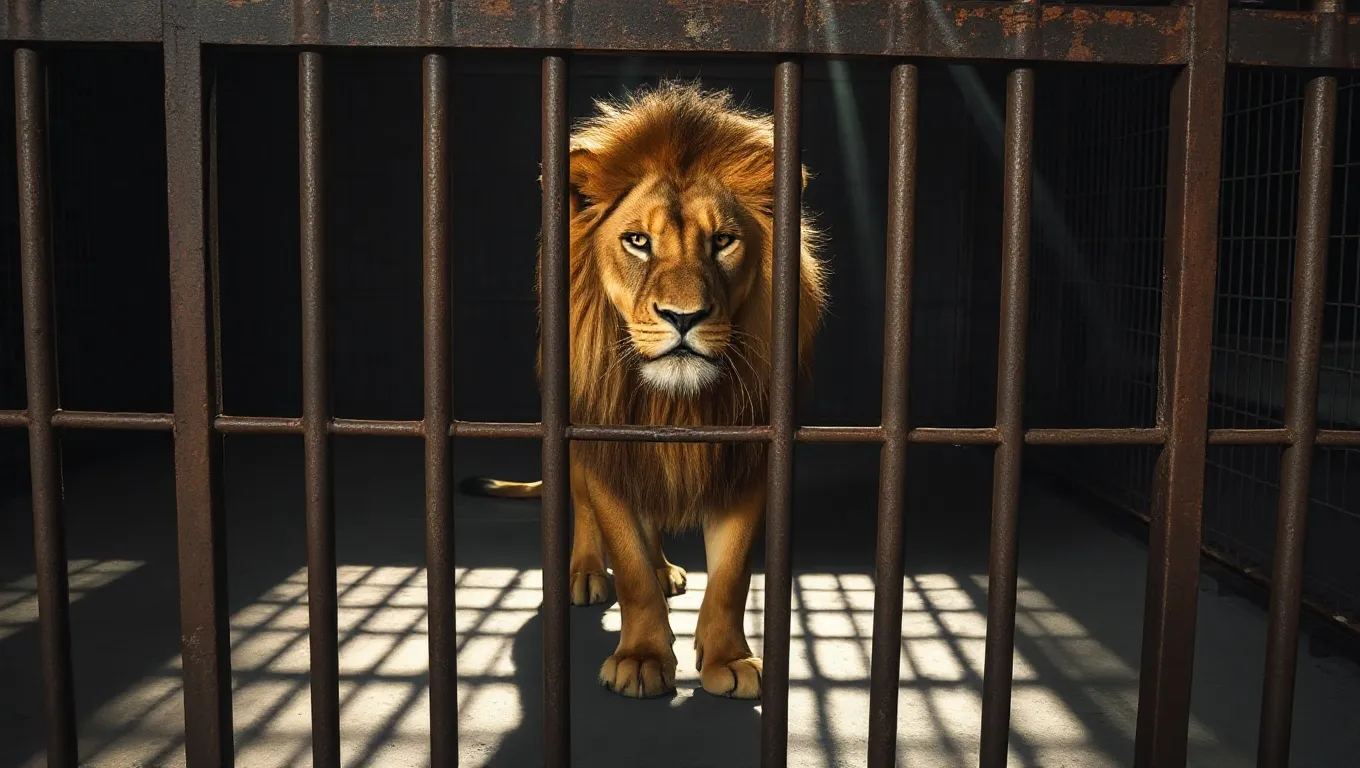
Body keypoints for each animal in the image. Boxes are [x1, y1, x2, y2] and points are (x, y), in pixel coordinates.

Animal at [462, 81, 826, 700]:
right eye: (638, 241)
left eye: (723, 241)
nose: (684, 316)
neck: (673, 404)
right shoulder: (606, 449)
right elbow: (628, 566)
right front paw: (641, 658)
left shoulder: (747, 458)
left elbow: (731, 575)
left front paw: (729, 660)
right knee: (586, 512)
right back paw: (585, 573)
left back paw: (664, 570)